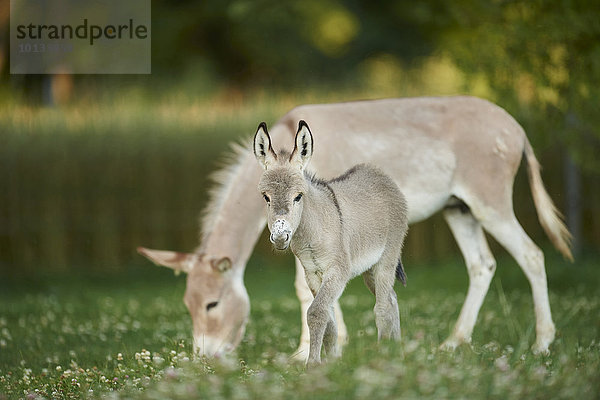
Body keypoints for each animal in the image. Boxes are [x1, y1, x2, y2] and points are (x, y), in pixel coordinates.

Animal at [253, 119, 408, 366]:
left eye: (298, 196)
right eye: (266, 197)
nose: (280, 237)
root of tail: (378, 174)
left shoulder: (338, 271)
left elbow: (316, 313)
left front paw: (313, 366)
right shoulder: (313, 274)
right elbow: (329, 323)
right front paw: (333, 364)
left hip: (387, 257)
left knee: (382, 308)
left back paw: (384, 355)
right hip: (369, 268)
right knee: (392, 300)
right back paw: (397, 352)